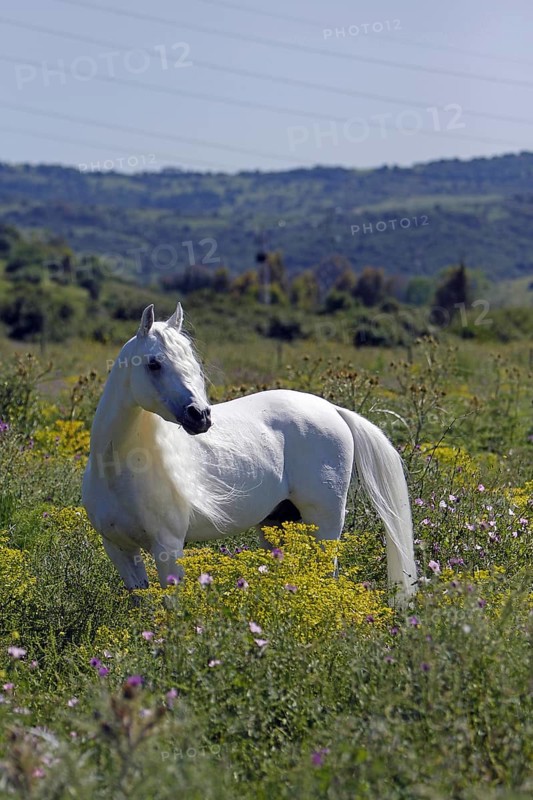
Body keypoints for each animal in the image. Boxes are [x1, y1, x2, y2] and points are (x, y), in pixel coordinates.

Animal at [82, 303, 417, 604]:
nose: (200, 416)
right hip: (278, 523)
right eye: (154, 364)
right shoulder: (120, 550)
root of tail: (333, 409)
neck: (117, 469)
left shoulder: (168, 548)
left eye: (192, 363)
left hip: (325, 523)